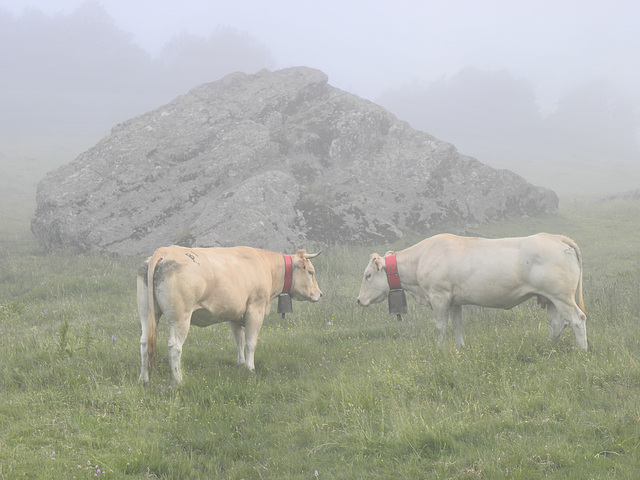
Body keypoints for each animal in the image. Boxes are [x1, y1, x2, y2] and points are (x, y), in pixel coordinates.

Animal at [138, 246, 322, 384]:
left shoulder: (235, 315)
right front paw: (250, 368)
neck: (266, 267)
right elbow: (251, 342)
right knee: (175, 346)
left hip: (147, 313)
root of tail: (165, 251)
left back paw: (144, 379)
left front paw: (241, 364)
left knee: (145, 342)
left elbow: (239, 341)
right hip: (180, 317)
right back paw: (179, 381)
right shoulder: (256, 310)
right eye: (311, 272)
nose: (320, 294)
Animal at [358, 234, 588, 350]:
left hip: (562, 296)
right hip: (550, 298)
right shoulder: (454, 300)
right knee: (557, 323)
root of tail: (556, 237)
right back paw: (547, 346)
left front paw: (439, 350)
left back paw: (582, 351)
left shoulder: (439, 296)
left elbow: (440, 327)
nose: (359, 300)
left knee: (577, 319)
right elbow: (457, 325)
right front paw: (460, 348)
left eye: (368, 275)